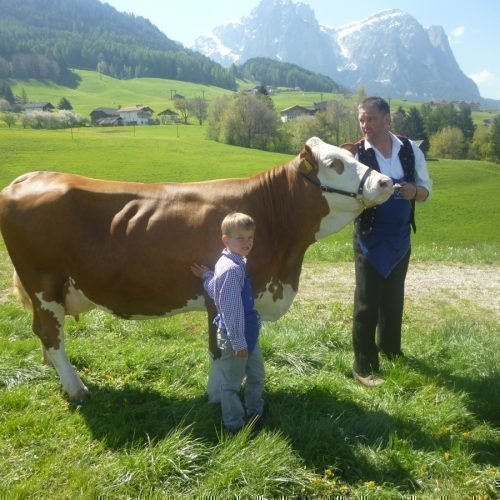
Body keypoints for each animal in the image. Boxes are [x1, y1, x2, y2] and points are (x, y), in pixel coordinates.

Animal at [0, 138, 390, 402]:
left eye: (355, 157)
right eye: (335, 163)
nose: (386, 182)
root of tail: (27, 179)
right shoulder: (219, 293)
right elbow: (220, 348)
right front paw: (218, 396)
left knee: (44, 335)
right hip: (44, 284)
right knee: (50, 334)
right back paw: (77, 389)